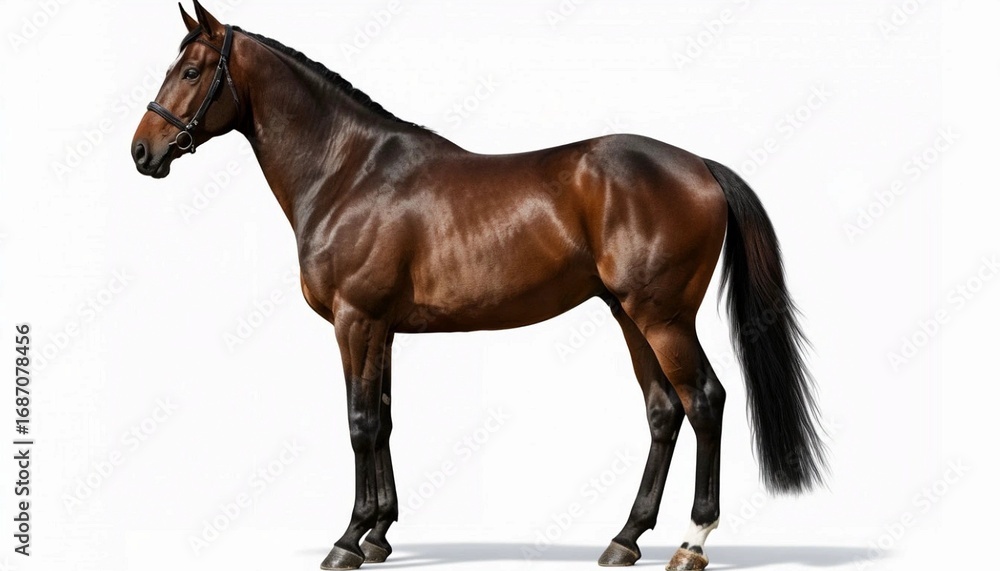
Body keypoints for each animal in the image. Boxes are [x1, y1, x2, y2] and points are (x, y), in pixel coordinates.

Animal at [131, 3, 826, 570]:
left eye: (191, 71)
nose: (142, 152)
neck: (348, 173)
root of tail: (700, 166)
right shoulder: (382, 328)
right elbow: (384, 419)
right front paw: (380, 534)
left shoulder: (356, 320)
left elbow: (359, 421)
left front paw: (347, 540)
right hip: (630, 316)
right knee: (663, 410)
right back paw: (625, 539)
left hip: (663, 318)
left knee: (704, 400)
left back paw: (691, 542)